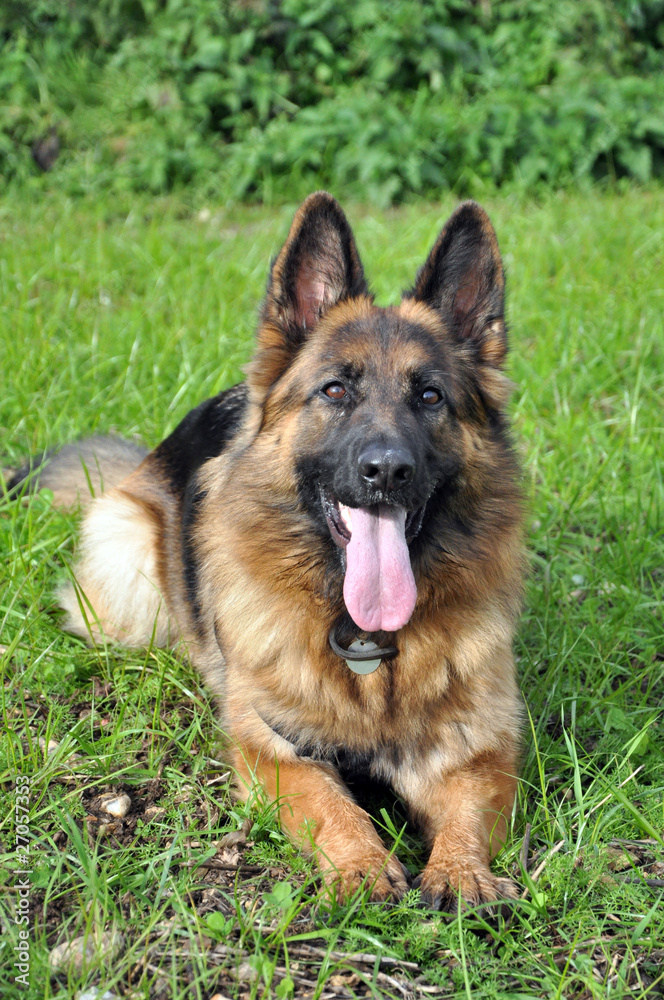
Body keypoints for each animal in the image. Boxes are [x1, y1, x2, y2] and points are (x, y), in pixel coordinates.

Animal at [9, 189, 524, 908]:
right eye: (335, 390)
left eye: (430, 396)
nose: (387, 470)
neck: (364, 642)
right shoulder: (275, 754)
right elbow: (332, 805)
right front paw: (362, 864)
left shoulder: (479, 752)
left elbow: (467, 811)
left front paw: (460, 870)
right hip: (130, 560)